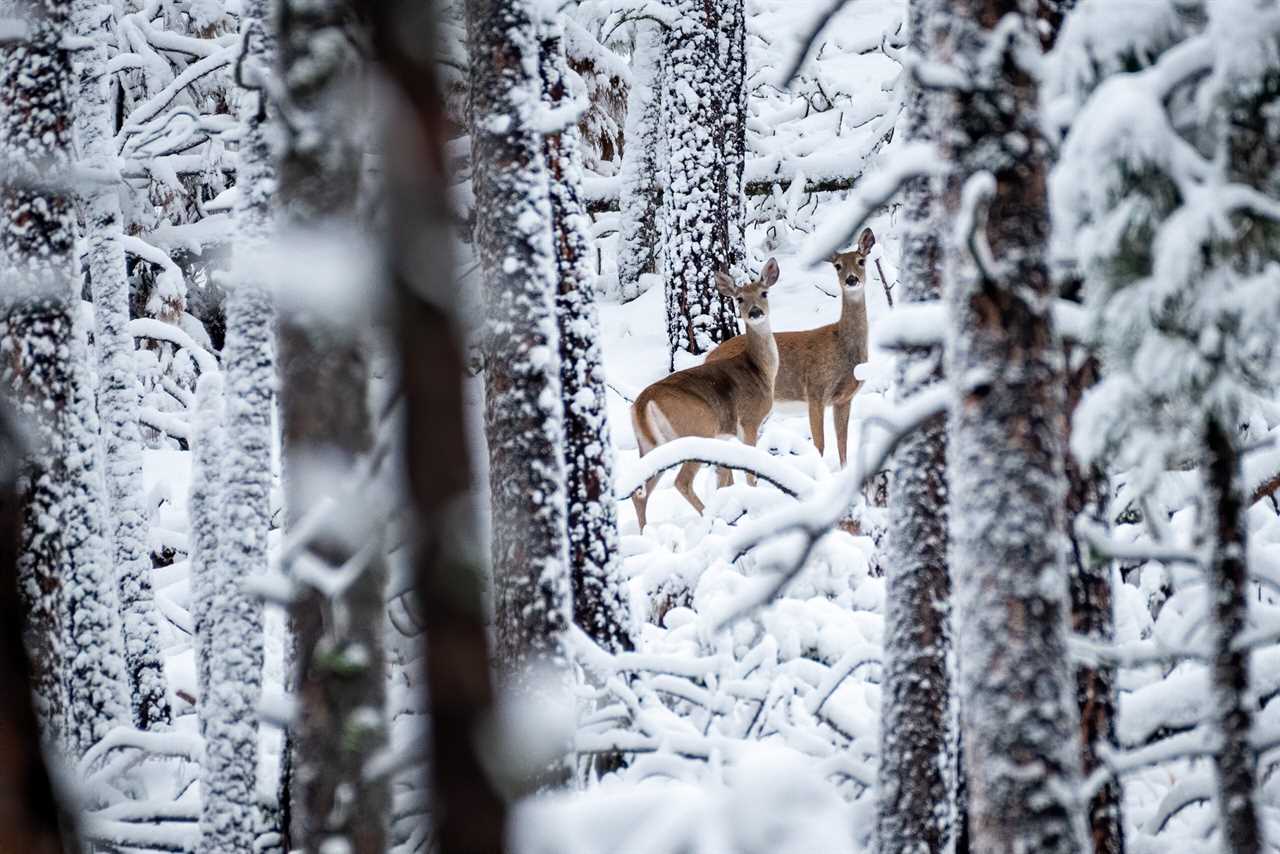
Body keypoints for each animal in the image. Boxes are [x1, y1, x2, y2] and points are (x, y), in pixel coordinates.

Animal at [629, 257, 778, 530]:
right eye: (739, 298)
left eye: (764, 293)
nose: (755, 312)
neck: (760, 371)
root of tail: (644, 402)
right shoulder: (749, 422)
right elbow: (749, 474)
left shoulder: (725, 436)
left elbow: (724, 477)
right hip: (697, 427)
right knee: (681, 482)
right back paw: (710, 517)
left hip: (650, 444)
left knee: (640, 491)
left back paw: (644, 533)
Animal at [706, 226, 875, 468]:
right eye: (837, 266)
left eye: (862, 261)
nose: (851, 279)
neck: (842, 346)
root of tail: (708, 357)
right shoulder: (815, 390)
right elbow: (820, 445)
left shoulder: (844, 398)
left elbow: (843, 444)